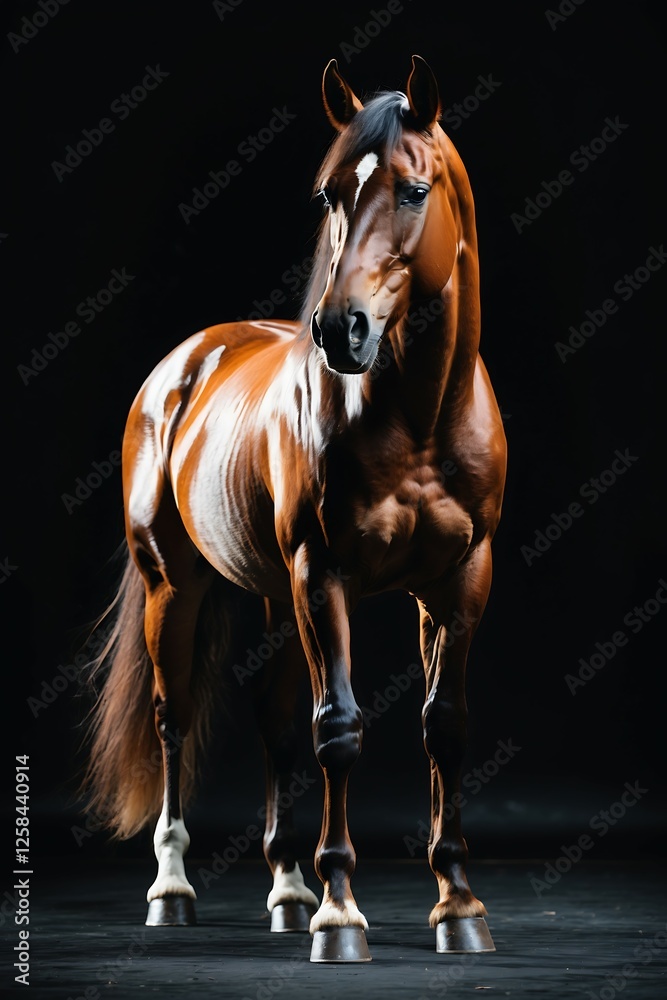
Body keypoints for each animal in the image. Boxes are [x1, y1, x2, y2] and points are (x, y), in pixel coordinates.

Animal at [82, 54, 507, 962]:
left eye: (413, 190)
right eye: (328, 196)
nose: (339, 329)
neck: (419, 418)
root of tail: (186, 361)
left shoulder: (458, 582)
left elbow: (444, 727)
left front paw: (457, 904)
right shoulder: (326, 576)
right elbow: (337, 729)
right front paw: (340, 914)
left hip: (280, 598)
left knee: (275, 722)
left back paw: (284, 887)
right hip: (177, 587)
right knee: (174, 720)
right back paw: (174, 888)